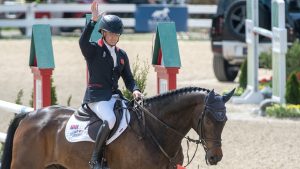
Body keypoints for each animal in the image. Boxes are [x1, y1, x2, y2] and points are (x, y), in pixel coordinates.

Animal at [0, 87, 234, 169]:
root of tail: (29, 115)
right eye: (210, 120)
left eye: (224, 121)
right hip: (25, 165)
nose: (215, 157)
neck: (155, 131)